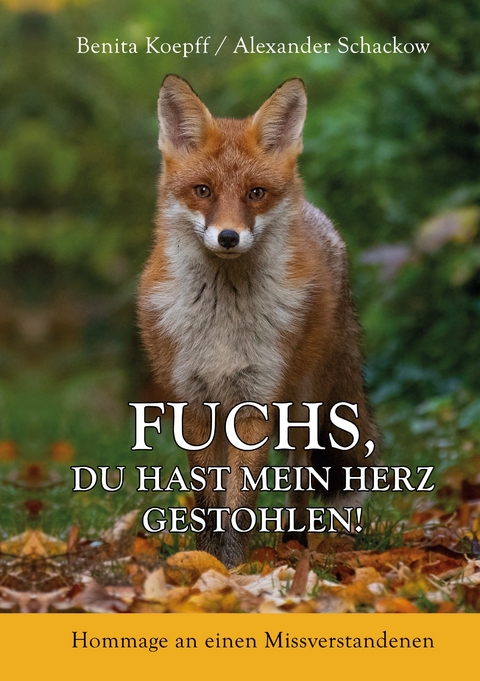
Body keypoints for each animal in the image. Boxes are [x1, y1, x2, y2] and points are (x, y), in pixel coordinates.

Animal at [138, 74, 379, 568]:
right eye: (203, 191)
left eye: (255, 193)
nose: (228, 237)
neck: (222, 324)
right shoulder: (195, 403)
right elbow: (208, 502)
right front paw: (206, 562)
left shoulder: (255, 402)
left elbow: (240, 504)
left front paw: (233, 568)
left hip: (305, 404)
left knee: (300, 476)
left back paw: (295, 542)